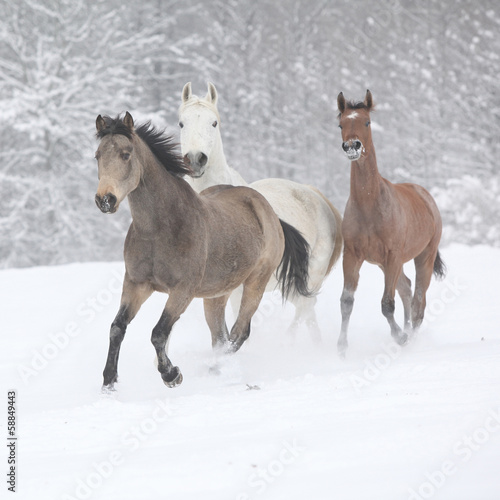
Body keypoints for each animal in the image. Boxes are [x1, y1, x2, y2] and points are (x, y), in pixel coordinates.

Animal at [94, 111, 312, 388]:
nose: (105, 200)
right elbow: (117, 327)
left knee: (239, 333)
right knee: (221, 337)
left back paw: (215, 370)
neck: (159, 229)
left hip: (256, 283)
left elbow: (158, 333)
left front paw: (172, 374)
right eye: (98, 156)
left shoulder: (182, 290)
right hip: (216, 294)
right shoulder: (136, 283)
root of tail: (270, 212)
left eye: (125, 154)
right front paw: (108, 382)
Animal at [177, 82, 344, 342]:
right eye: (181, 123)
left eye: (213, 123)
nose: (195, 159)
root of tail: (315, 194)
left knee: (305, 309)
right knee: (307, 313)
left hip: (311, 276)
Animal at [336, 90, 446, 356]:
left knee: (418, 301)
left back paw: (411, 339)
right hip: (384, 264)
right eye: (341, 124)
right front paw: (342, 347)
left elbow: (387, 304)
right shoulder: (352, 255)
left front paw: (400, 338)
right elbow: (346, 301)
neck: (370, 206)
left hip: (423, 257)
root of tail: (425, 196)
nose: (352, 146)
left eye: (367, 122)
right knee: (406, 290)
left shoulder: (393, 256)